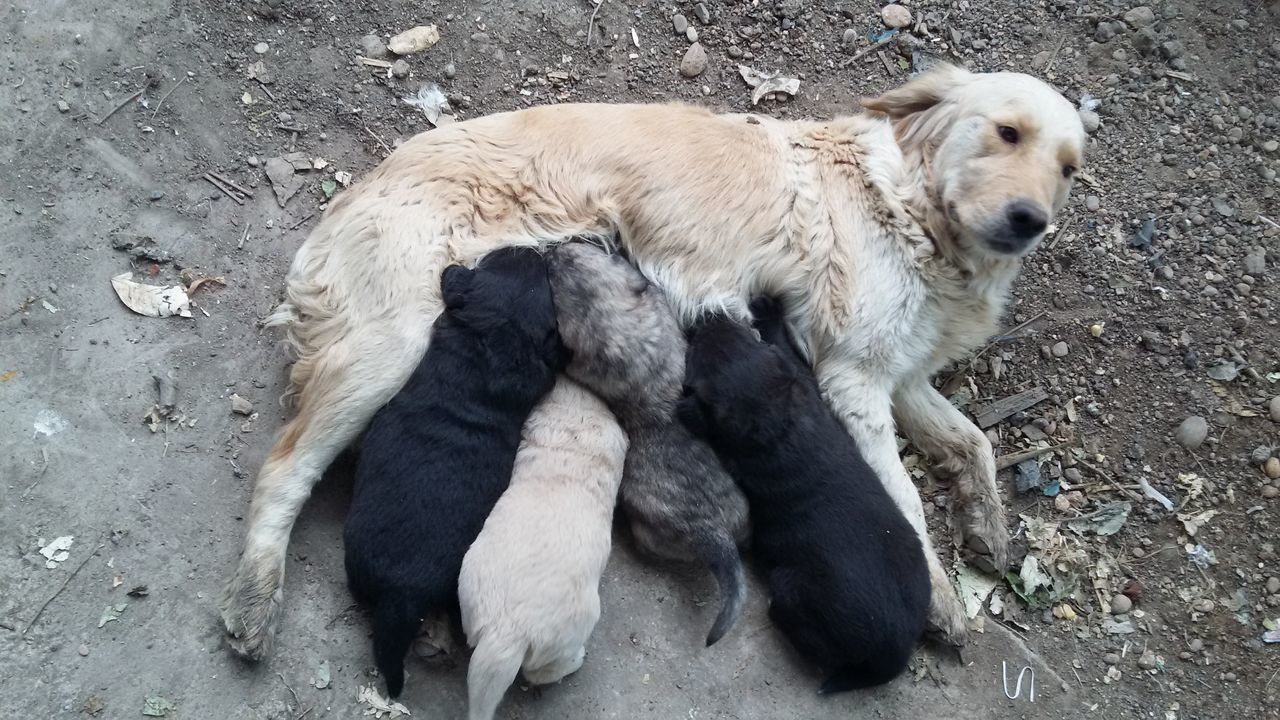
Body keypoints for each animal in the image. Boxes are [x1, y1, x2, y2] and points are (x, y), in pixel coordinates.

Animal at [458, 376, 627, 717]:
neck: (572, 424)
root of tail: (506, 632)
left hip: (469, 597)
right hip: (575, 626)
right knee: (540, 671)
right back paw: (576, 661)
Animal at [680, 297, 931, 691]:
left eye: (695, 354)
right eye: (742, 334)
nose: (708, 315)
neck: (779, 416)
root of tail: (896, 649)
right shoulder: (801, 381)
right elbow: (786, 351)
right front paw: (768, 308)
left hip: (793, 593)